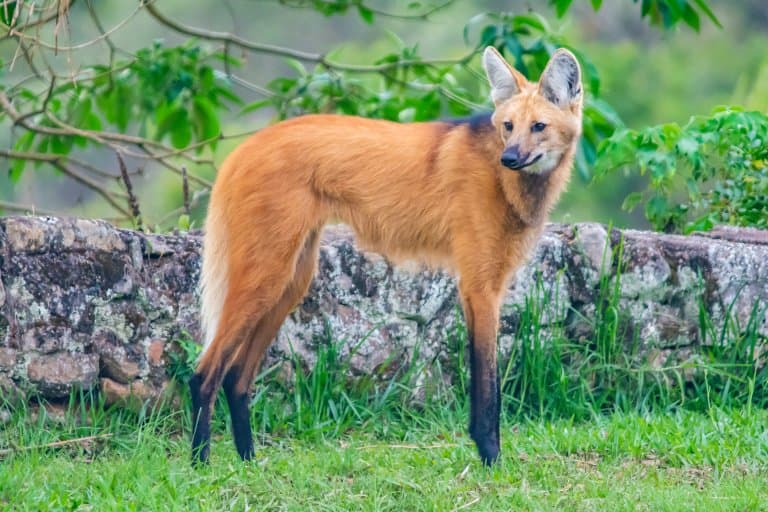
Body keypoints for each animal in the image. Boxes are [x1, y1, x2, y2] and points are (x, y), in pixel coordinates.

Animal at [190, 46, 584, 466]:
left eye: (538, 127)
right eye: (508, 126)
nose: (509, 158)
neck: (507, 184)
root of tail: (243, 148)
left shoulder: (483, 286)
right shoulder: (480, 288)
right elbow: (488, 386)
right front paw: (490, 458)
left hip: (292, 280)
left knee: (236, 376)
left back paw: (248, 460)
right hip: (268, 276)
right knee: (204, 373)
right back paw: (201, 464)